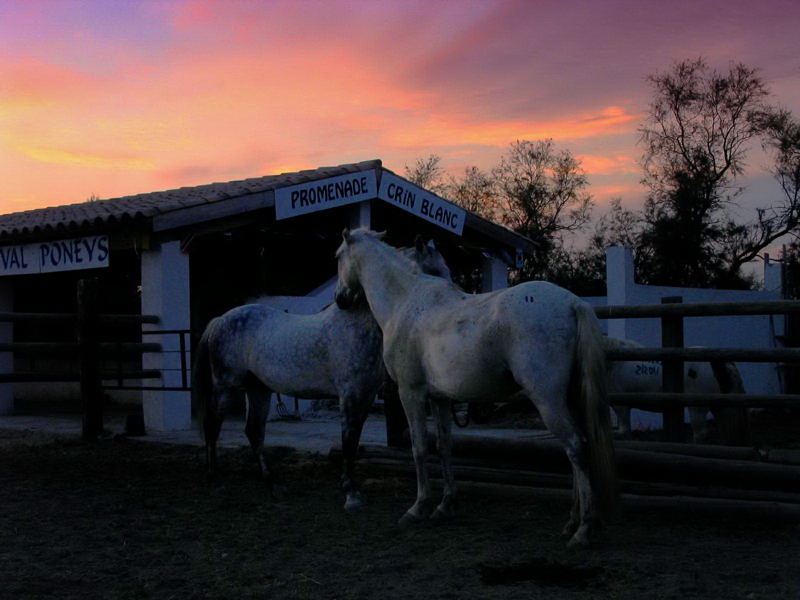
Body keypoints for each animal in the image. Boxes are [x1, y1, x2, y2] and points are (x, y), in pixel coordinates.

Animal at [193, 237, 450, 508]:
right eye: (434, 272)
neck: (357, 327)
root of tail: (219, 320)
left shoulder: (366, 396)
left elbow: (354, 440)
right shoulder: (349, 395)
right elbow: (348, 440)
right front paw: (350, 493)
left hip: (258, 389)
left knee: (254, 432)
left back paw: (274, 485)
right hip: (225, 386)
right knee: (213, 426)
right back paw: (215, 482)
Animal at [332, 227, 620, 548]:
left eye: (338, 256)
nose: (340, 298)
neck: (405, 302)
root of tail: (573, 303)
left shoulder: (411, 393)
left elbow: (419, 448)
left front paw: (418, 508)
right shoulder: (439, 399)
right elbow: (444, 446)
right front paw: (445, 506)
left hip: (548, 401)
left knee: (575, 447)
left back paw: (584, 529)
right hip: (569, 399)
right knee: (577, 452)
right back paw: (571, 523)